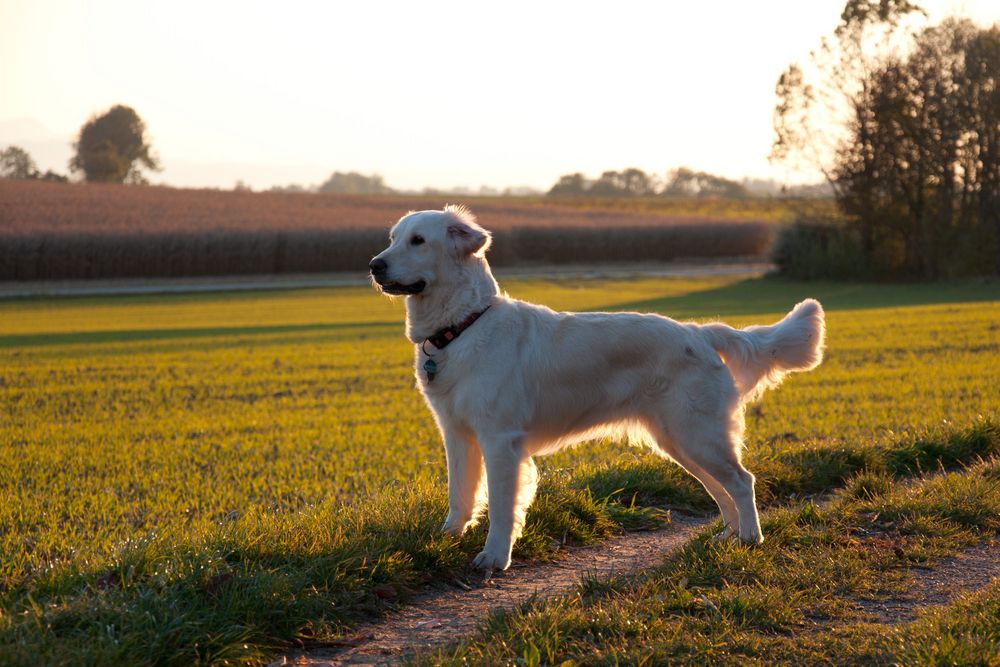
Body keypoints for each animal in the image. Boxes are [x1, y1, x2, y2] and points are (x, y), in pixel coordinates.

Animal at [372, 206, 824, 572]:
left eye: (418, 240)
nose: (375, 265)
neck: (462, 326)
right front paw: (448, 538)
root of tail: (699, 331)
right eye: (392, 237)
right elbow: (460, 495)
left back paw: (750, 539)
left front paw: (495, 557)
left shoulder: (501, 440)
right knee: (721, 488)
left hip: (697, 435)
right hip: (680, 441)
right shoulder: (457, 433)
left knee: (742, 481)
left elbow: (501, 506)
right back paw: (728, 537)